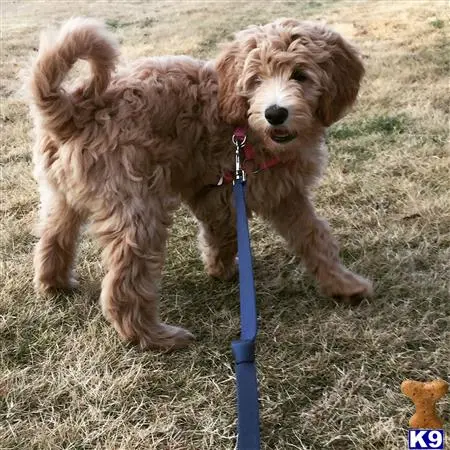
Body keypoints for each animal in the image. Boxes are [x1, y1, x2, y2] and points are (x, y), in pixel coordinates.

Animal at [29, 18, 372, 352]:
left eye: (301, 75)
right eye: (256, 80)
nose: (275, 113)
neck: (243, 123)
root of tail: (76, 110)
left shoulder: (282, 192)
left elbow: (314, 237)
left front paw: (344, 284)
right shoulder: (224, 190)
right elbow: (227, 234)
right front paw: (222, 270)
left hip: (62, 195)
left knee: (54, 237)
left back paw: (55, 284)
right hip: (136, 207)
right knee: (124, 285)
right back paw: (155, 337)